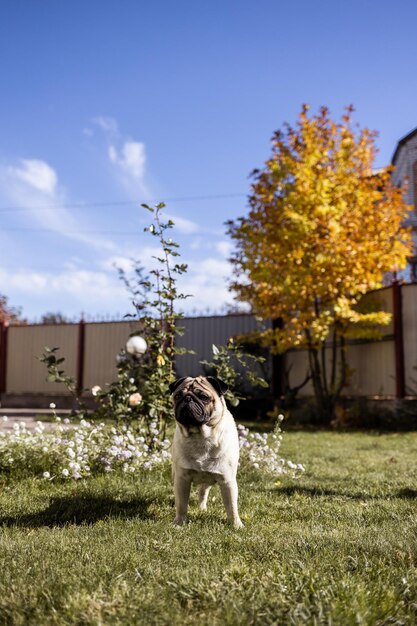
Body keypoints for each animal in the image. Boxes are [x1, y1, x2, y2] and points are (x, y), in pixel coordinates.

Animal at [168, 376, 242, 528]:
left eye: (204, 397)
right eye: (177, 396)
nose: (187, 398)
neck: (201, 437)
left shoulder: (228, 481)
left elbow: (232, 507)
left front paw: (236, 525)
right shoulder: (182, 479)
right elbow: (181, 504)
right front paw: (179, 522)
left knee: (203, 491)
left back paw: (202, 508)